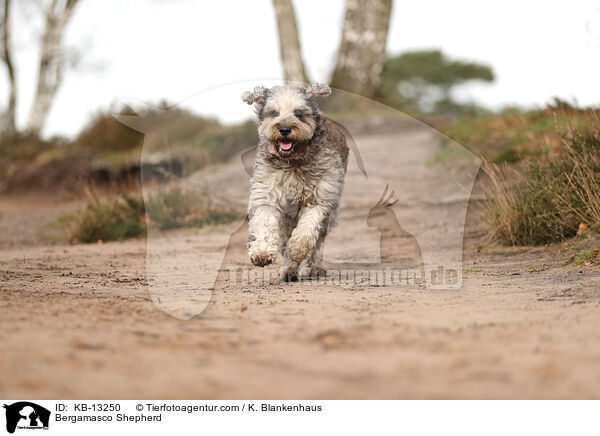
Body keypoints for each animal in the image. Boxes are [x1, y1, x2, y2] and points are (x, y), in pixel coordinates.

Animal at [243, 84, 350, 282]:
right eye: (274, 113)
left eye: (299, 113)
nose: (285, 129)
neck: (293, 161)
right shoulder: (267, 193)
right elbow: (264, 221)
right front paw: (262, 253)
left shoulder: (319, 197)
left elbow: (307, 228)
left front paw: (297, 250)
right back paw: (289, 270)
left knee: (316, 241)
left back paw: (312, 267)